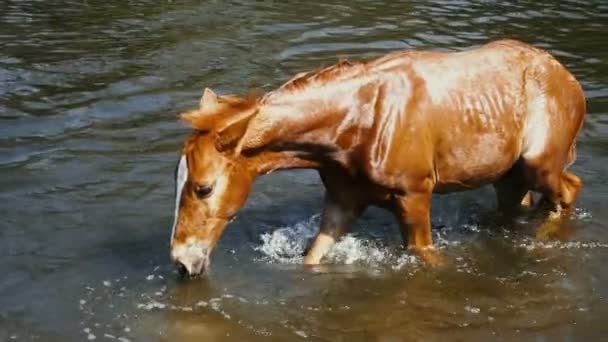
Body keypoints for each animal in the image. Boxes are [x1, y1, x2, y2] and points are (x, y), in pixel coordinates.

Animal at [169, 38, 588, 276]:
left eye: (204, 188)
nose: (182, 261)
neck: (359, 123)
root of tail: (566, 77)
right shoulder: (342, 202)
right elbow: (312, 257)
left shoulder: (415, 198)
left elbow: (427, 259)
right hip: (508, 177)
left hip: (539, 164)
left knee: (569, 190)